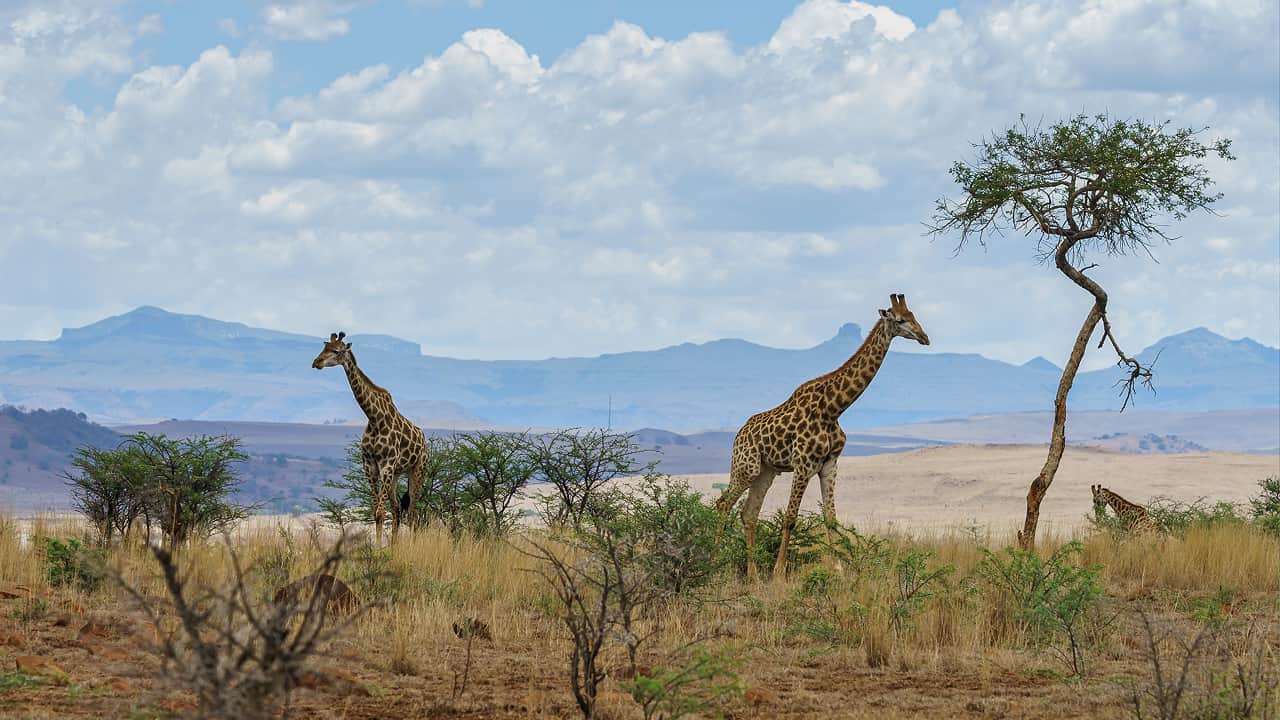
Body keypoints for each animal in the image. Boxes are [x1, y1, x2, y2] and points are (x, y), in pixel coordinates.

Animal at [312, 333, 427, 540]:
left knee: (413, 511)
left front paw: (379, 546)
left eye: (336, 350)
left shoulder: (386, 465)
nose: (316, 362)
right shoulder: (370, 466)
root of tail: (424, 440)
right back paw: (394, 544)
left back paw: (412, 543)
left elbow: (380, 512)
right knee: (398, 509)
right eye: (324, 347)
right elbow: (377, 512)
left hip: (417, 470)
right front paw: (379, 546)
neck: (374, 418)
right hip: (396, 474)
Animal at [711, 292, 931, 576]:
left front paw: (838, 569)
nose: (925, 337)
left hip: (766, 472)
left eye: (914, 315)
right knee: (724, 504)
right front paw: (779, 573)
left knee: (749, 513)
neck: (833, 409)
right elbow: (790, 517)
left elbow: (831, 519)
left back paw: (753, 573)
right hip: (745, 467)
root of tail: (738, 434)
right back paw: (714, 563)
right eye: (901, 320)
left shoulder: (830, 465)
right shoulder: (804, 464)